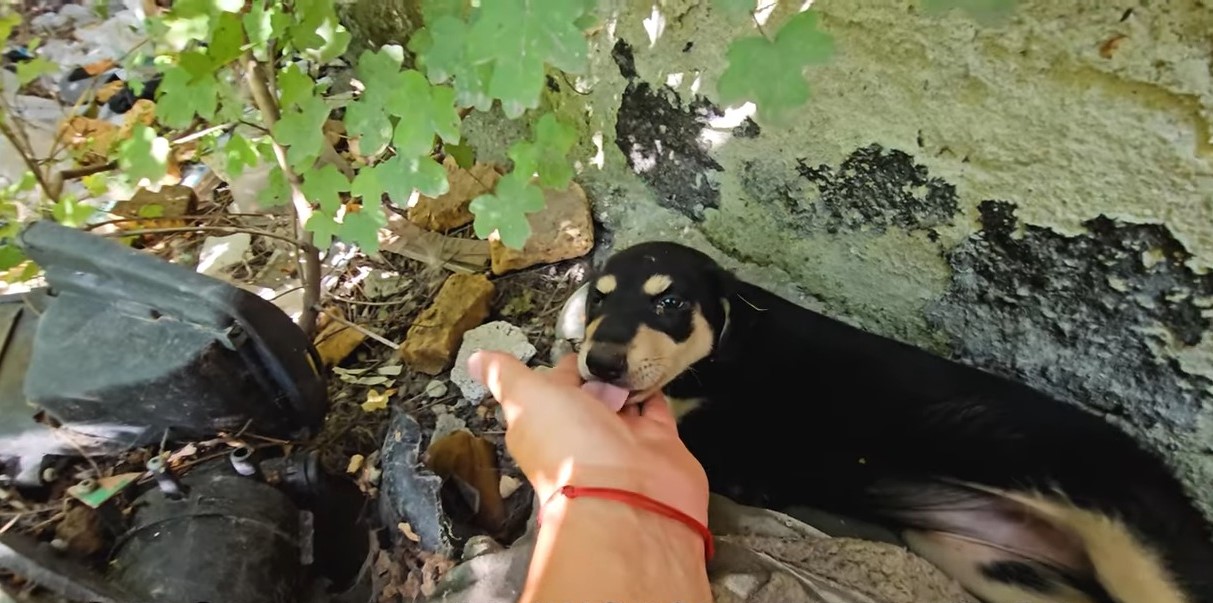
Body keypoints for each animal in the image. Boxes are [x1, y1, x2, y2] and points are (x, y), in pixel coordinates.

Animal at [565, 240, 1213, 601]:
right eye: (599, 298)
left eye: (670, 302)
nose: (601, 361)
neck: (726, 347)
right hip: (999, 569)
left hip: (1134, 542)